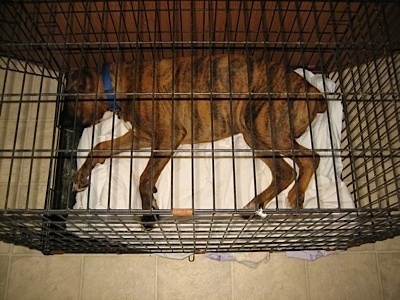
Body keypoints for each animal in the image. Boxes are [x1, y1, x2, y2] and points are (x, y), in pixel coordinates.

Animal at [65, 55, 326, 226]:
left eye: (69, 102)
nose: (62, 124)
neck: (122, 82)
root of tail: (313, 91)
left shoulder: (167, 137)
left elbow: (144, 177)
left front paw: (148, 210)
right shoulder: (142, 137)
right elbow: (101, 147)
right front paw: (82, 176)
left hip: (264, 128)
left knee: (309, 158)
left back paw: (293, 196)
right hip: (255, 136)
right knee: (285, 171)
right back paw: (257, 204)